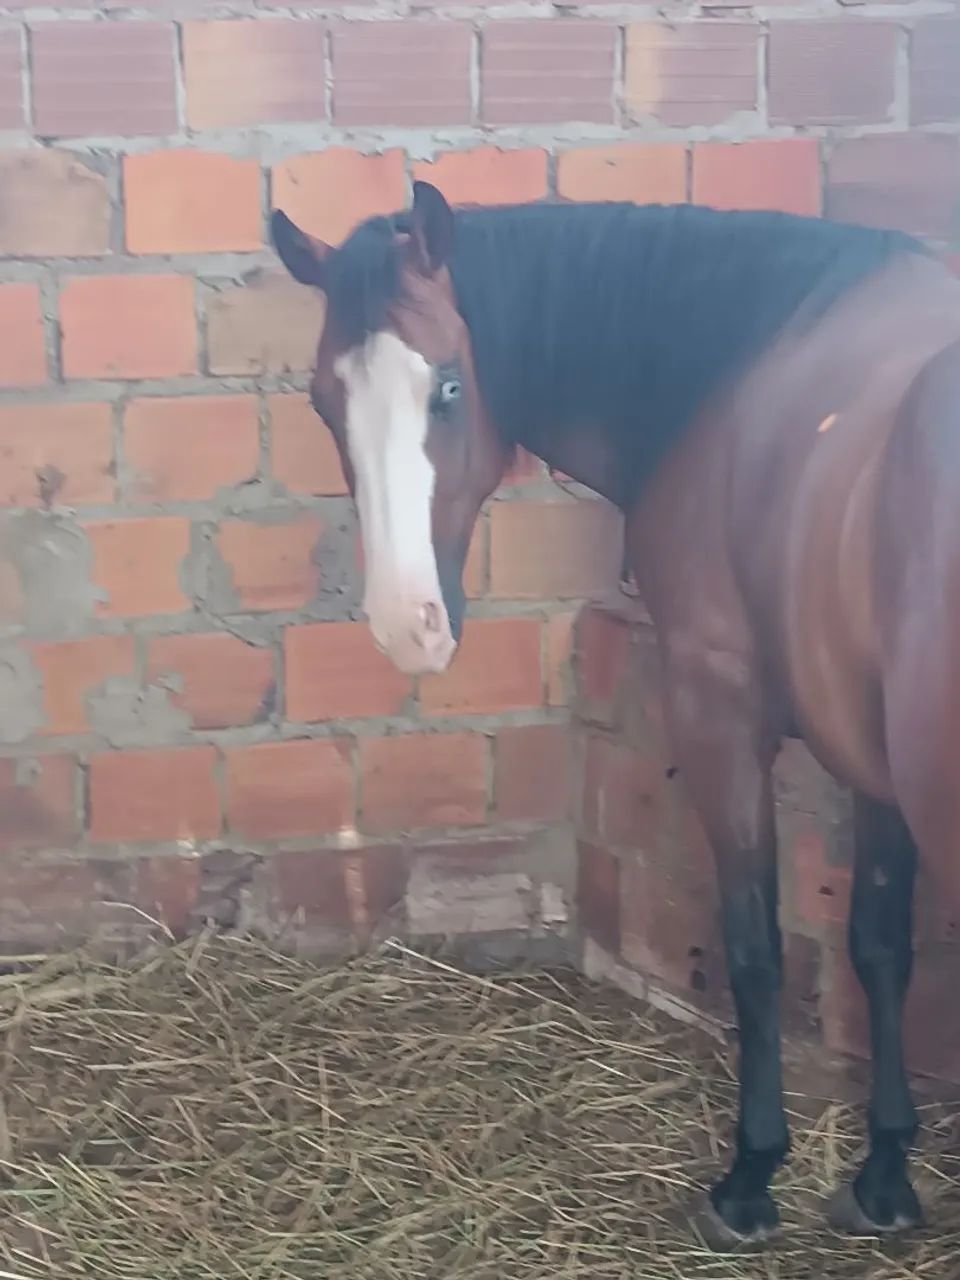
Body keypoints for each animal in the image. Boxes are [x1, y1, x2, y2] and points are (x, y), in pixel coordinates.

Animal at [270, 179, 960, 1249]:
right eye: (323, 400)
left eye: (450, 387)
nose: (403, 623)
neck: (748, 361)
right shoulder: (866, 750)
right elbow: (881, 946)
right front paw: (885, 1172)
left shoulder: (720, 712)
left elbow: (756, 949)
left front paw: (751, 1179)